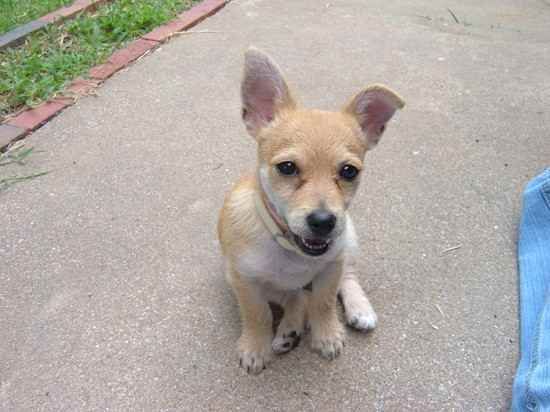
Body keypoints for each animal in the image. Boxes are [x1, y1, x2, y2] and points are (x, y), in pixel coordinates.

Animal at [219, 47, 406, 374]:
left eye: (349, 171)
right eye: (287, 167)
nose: (323, 221)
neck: (293, 252)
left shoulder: (331, 267)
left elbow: (324, 302)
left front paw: (327, 334)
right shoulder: (244, 281)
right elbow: (257, 315)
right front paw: (255, 347)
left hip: (348, 242)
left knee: (346, 279)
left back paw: (358, 309)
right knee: (295, 297)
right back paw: (288, 331)